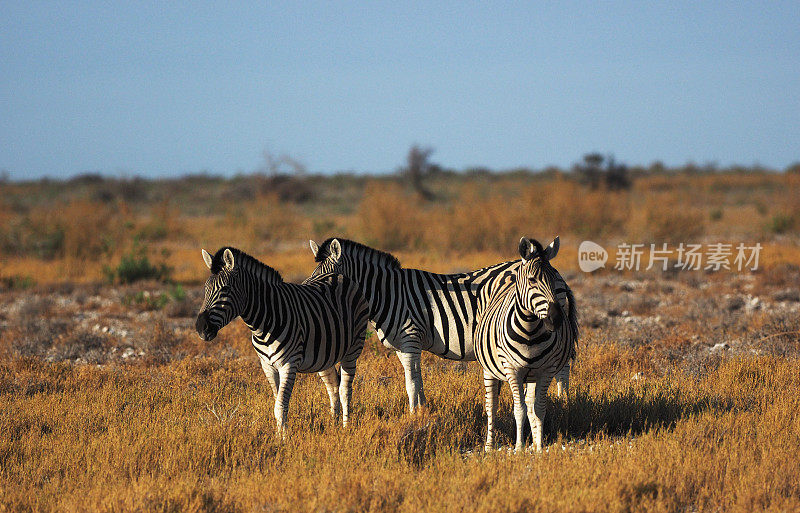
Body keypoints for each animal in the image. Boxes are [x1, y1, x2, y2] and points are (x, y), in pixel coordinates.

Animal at [195, 247, 370, 432]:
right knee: (333, 387)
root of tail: (339, 275)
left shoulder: (289, 364)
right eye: (205, 289)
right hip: (325, 355)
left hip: (353, 350)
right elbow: (277, 404)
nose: (201, 328)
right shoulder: (267, 366)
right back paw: (334, 426)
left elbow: (280, 406)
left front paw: (284, 438)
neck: (263, 324)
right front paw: (279, 436)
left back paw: (345, 428)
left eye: (226, 289)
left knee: (345, 390)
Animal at [310, 236, 572, 412]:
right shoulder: (403, 346)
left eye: (326, 277)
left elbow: (411, 383)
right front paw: (423, 411)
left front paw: (413, 415)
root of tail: (559, 274)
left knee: (562, 369)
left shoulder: (410, 338)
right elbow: (417, 381)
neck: (388, 292)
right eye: (315, 276)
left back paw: (563, 404)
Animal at [472, 236, 580, 452]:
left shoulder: (546, 370)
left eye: (555, 280)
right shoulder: (513, 369)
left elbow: (538, 407)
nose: (556, 319)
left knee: (530, 403)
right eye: (532, 280)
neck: (530, 330)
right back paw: (489, 445)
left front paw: (538, 447)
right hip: (490, 369)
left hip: (532, 375)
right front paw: (519, 447)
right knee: (492, 405)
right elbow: (518, 409)